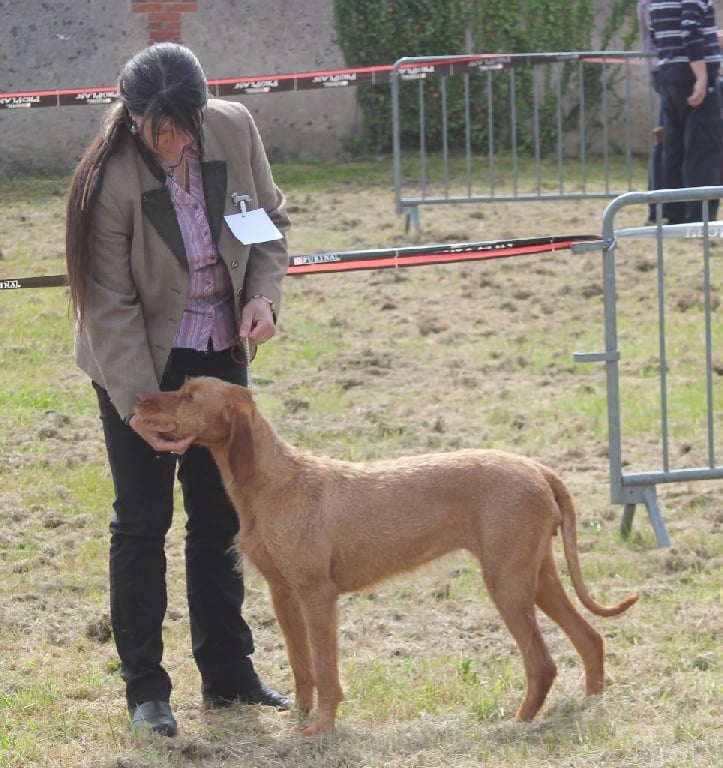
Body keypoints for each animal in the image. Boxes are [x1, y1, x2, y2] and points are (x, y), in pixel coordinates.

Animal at [136, 376, 640, 736]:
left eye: (189, 395)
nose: (139, 398)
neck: (275, 481)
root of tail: (538, 468)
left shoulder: (317, 595)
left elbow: (325, 668)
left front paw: (321, 728)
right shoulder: (283, 593)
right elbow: (302, 666)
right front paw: (299, 718)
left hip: (507, 582)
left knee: (542, 662)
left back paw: (516, 725)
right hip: (536, 576)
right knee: (591, 638)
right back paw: (592, 703)